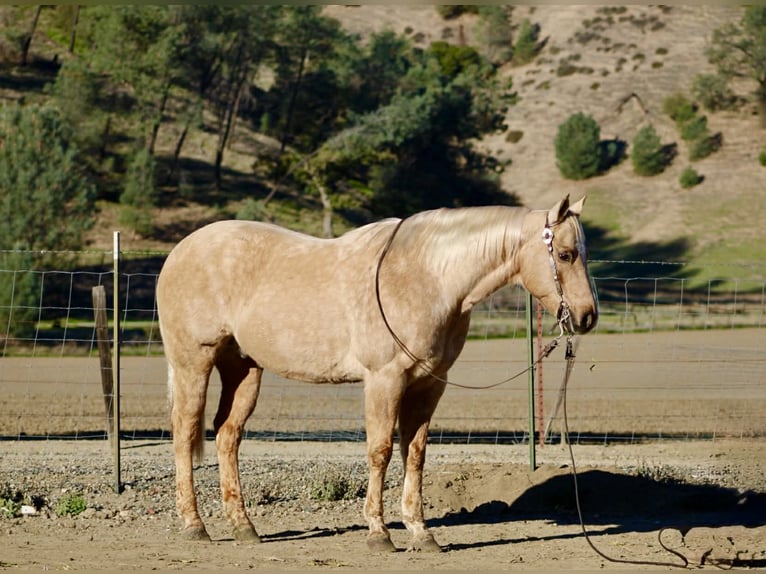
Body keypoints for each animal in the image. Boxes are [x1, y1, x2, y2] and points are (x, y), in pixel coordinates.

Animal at [156, 194, 598, 552]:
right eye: (565, 255)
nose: (587, 317)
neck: (428, 277)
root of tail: (181, 251)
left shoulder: (428, 386)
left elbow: (414, 454)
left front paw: (421, 533)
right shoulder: (385, 381)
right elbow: (381, 451)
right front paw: (378, 533)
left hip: (243, 368)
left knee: (227, 435)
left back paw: (244, 527)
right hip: (194, 363)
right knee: (185, 433)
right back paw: (194, 526)